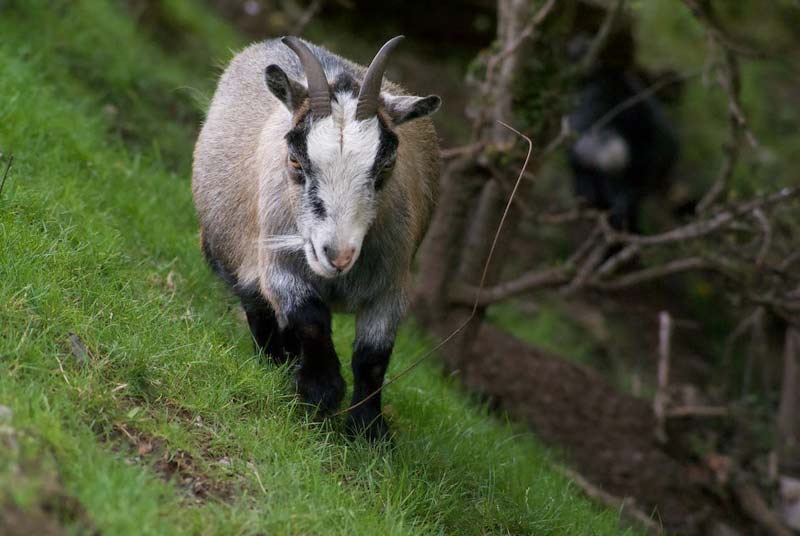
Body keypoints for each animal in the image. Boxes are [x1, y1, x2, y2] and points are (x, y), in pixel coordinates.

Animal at [194, 35, 444, 438]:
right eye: (296, 160)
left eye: (386, 165)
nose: (337, 255)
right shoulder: (279, 267)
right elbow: (309, 318)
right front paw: (319, 394)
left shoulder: (390, 288)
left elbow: (372, 356)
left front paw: (368, 430)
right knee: (258, 308)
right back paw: (277, 364)